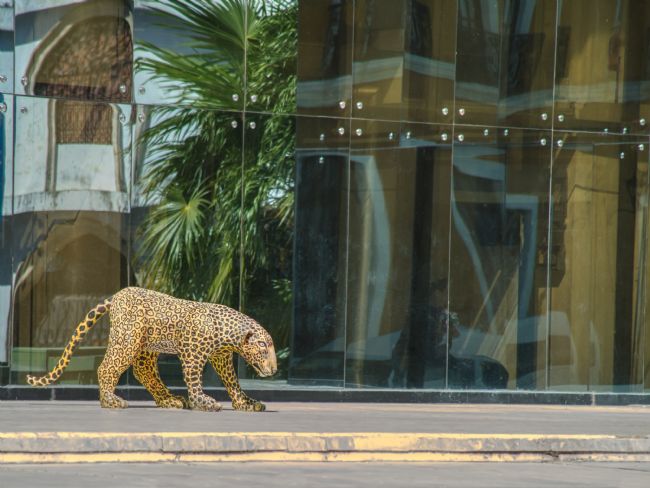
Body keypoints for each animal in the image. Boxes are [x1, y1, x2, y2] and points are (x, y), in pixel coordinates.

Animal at [26, 287, 277, 412]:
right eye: (263, 346)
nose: (274, 369)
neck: (228, 332)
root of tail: (116, 296)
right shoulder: (193, 354)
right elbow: (194, 380)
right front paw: (203, 402)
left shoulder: (221, 358)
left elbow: (232, 381)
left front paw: (245, 403)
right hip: (127, 339)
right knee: (107, 367)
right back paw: (110, 400)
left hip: (147, 346)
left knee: (143, 372)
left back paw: (170, 400)